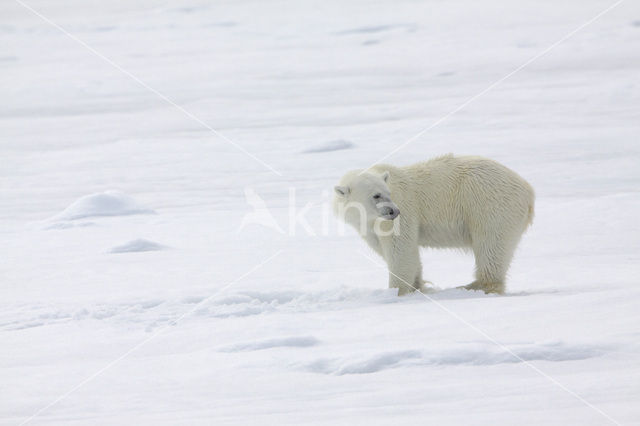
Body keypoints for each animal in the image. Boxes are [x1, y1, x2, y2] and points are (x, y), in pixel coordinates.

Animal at [336, 154, 536, 296]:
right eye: (376, 195)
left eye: (387, 193)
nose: (394, 211)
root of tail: (528, 190)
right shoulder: (369, 226)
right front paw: (417, 286)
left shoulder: (404, 209)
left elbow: (399, 250)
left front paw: (396, 291)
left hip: (490, 206)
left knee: (491, 245)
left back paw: (471, 286)